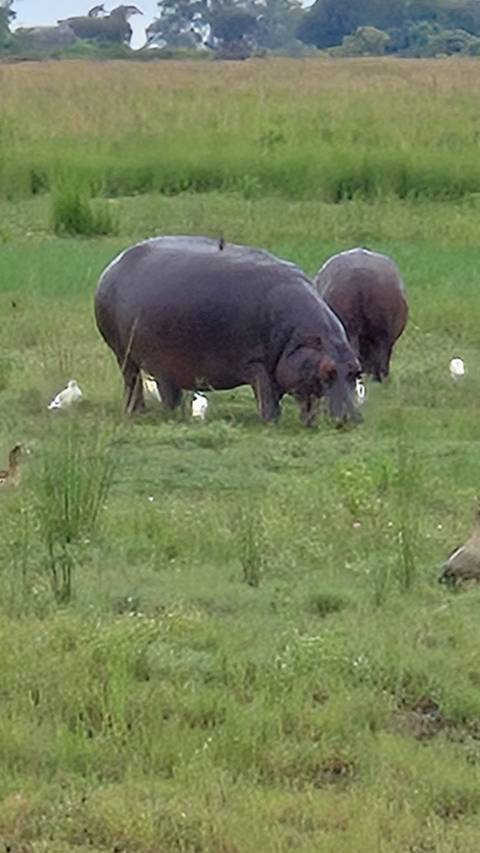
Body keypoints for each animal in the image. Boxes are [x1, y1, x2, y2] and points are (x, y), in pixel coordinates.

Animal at [94, 236, 361, 426]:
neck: (301, 341)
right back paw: (137, 412)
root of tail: (114, 263)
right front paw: (271, 422)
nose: (352, 419)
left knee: (168, 389)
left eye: (357, 371)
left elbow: (306, 399)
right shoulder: (256, 364)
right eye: (327, 371)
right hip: (123, 354)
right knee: (132, 381)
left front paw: (309, 421)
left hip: (164, 361)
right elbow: (268, 396)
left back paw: (175, 414)